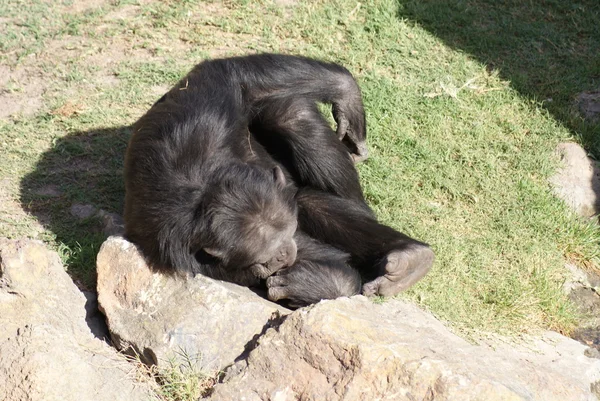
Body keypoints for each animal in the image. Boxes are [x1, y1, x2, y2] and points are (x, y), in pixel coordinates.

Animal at [124, 51, 434, 304]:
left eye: (287, 230)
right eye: (265, 255)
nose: (284, 252)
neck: (204, 186)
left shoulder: (206, 110)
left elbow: (235, 76)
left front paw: (346, 94)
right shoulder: (183, 248)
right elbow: (333, 267)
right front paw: (313, 283)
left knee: (288, 112)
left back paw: (409, 257)